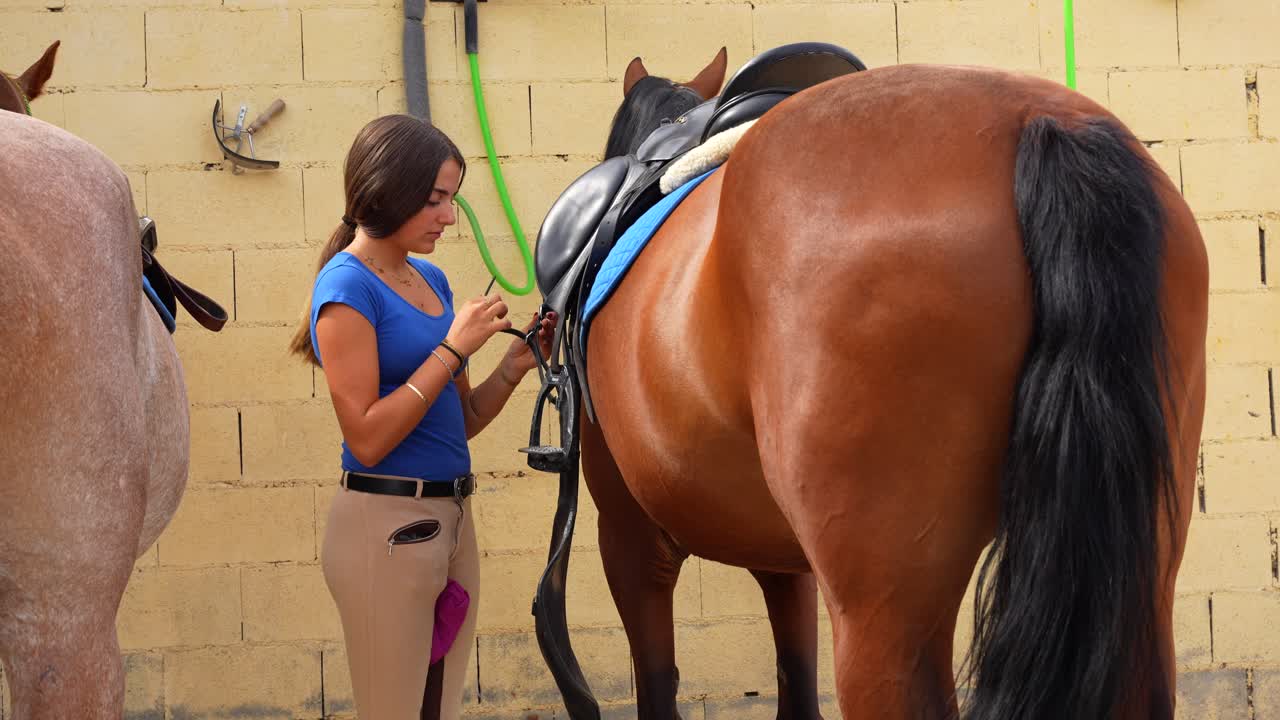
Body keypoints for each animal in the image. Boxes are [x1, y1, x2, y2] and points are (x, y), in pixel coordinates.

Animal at [564, 49, 1208, 720]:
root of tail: (1040, 122)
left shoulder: (630, 535)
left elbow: (657, 676)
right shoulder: (781, 555)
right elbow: (794, 673)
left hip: (883, 614)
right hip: (1141, 570)